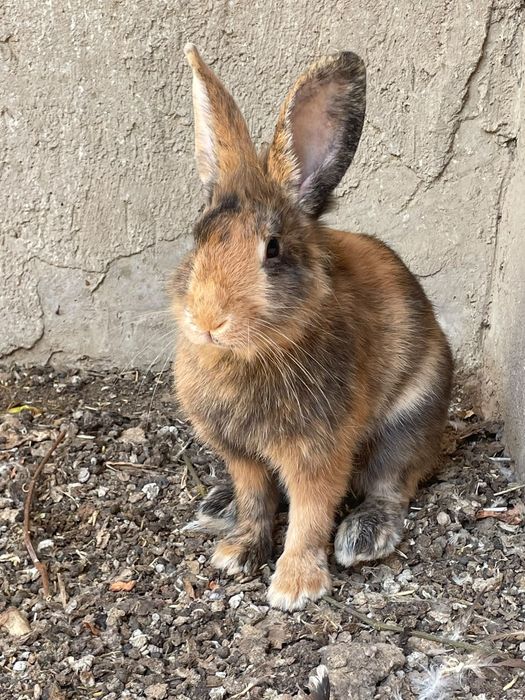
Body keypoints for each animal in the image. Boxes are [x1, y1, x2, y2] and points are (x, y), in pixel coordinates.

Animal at [171, 44, 453, 612]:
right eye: (199, 236)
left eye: (273, 249)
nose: (208, 320)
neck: (251, 353)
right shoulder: (242, 457)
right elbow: (256, 500)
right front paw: (237, 552)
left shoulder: (318, 453)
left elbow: (309, 515)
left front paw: (294, 587)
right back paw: (218, 508)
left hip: (409, 421)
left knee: (392, 485)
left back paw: (364, 537)